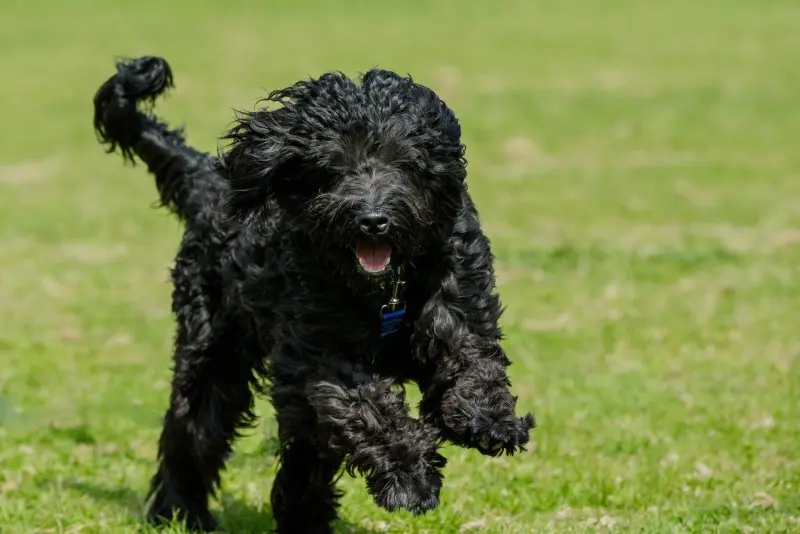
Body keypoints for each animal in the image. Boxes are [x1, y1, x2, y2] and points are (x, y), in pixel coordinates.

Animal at [92, 56, 532, 532]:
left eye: (403, 161)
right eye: (332, 167)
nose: (372, 219)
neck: (387, 291)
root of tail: (208, 184)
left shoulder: (459, 306)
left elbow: (472, 363)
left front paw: (488, 419)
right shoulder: (324, 355)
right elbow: (371, 411)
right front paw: (411, 477)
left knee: (302, 452)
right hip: (215, 347)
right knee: (195, 429)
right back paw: (180, 511)